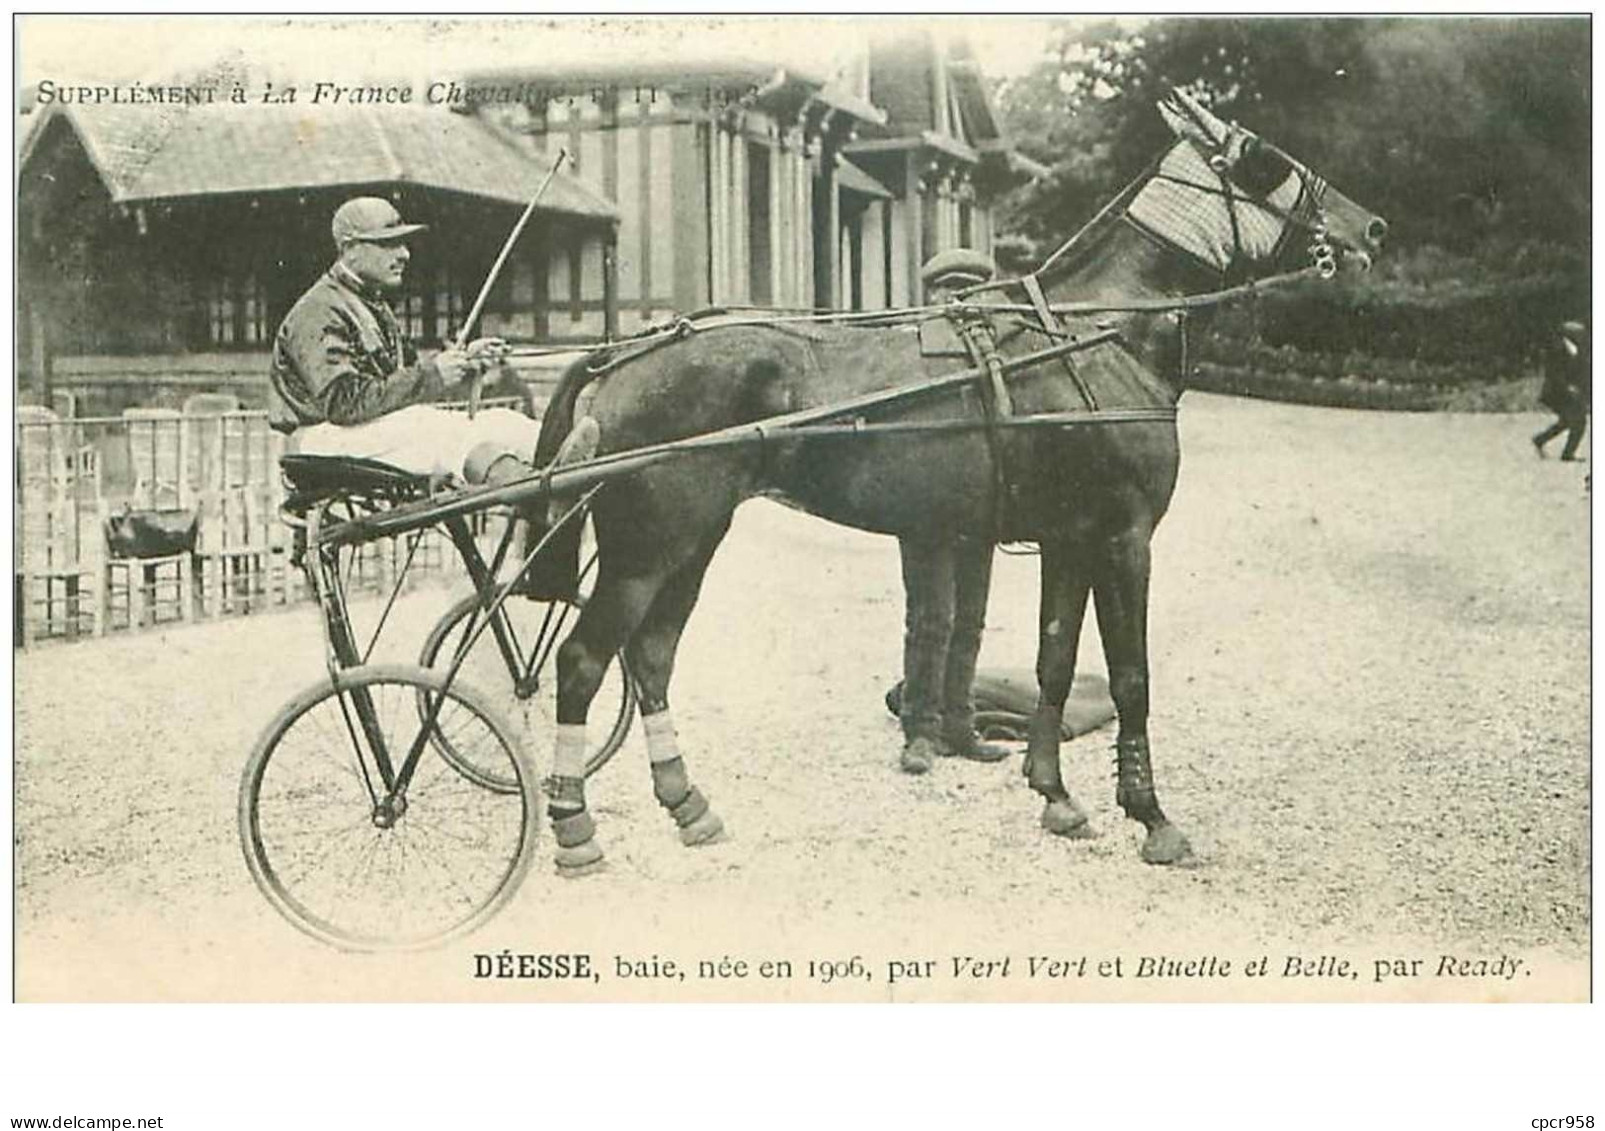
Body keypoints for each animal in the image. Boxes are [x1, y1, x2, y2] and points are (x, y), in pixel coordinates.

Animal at [520, 90, 1386, 866]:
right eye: (1266, 160)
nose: (1369, 226)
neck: (1094, 334)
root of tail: (622, 353)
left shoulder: (1068, 538)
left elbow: (1054, 661)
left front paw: (1055, 794)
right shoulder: (1123, 535)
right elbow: (1131, 676)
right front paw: (1150, 817)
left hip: (695, 538)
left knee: (652, 655)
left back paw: (686, 802)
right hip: (648, 546)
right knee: (583, 660)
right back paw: (572, 824)